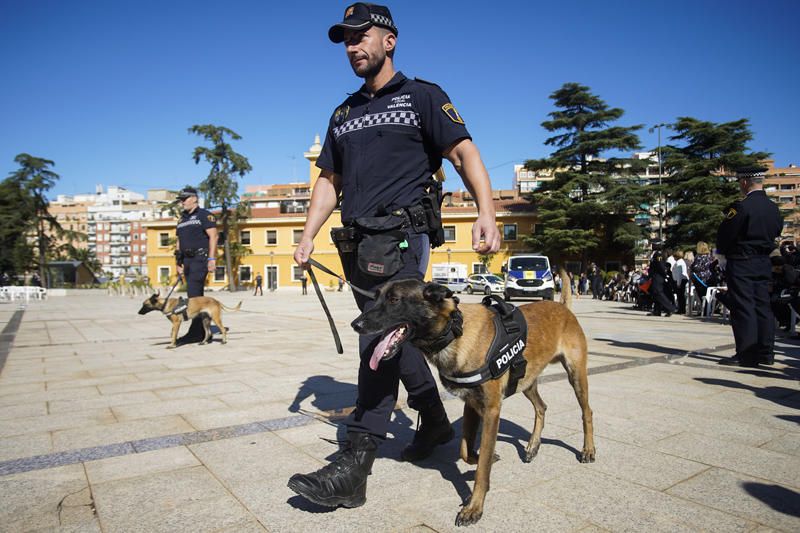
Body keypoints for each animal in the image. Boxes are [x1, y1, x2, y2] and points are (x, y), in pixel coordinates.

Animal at [352, 272, 592, 524]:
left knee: (587, 412)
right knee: (542, 407)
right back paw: (533, 446)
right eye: (376, 297)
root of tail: (562, 307)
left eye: (394, 299)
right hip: (526, 380)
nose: (355, 325)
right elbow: (466, 451)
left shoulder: (492, 411)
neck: (455, 332)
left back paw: (588, 450)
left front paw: (474, 507)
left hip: (576, 376)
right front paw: (488, 458)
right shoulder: (472, 405)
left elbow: (482, 468)